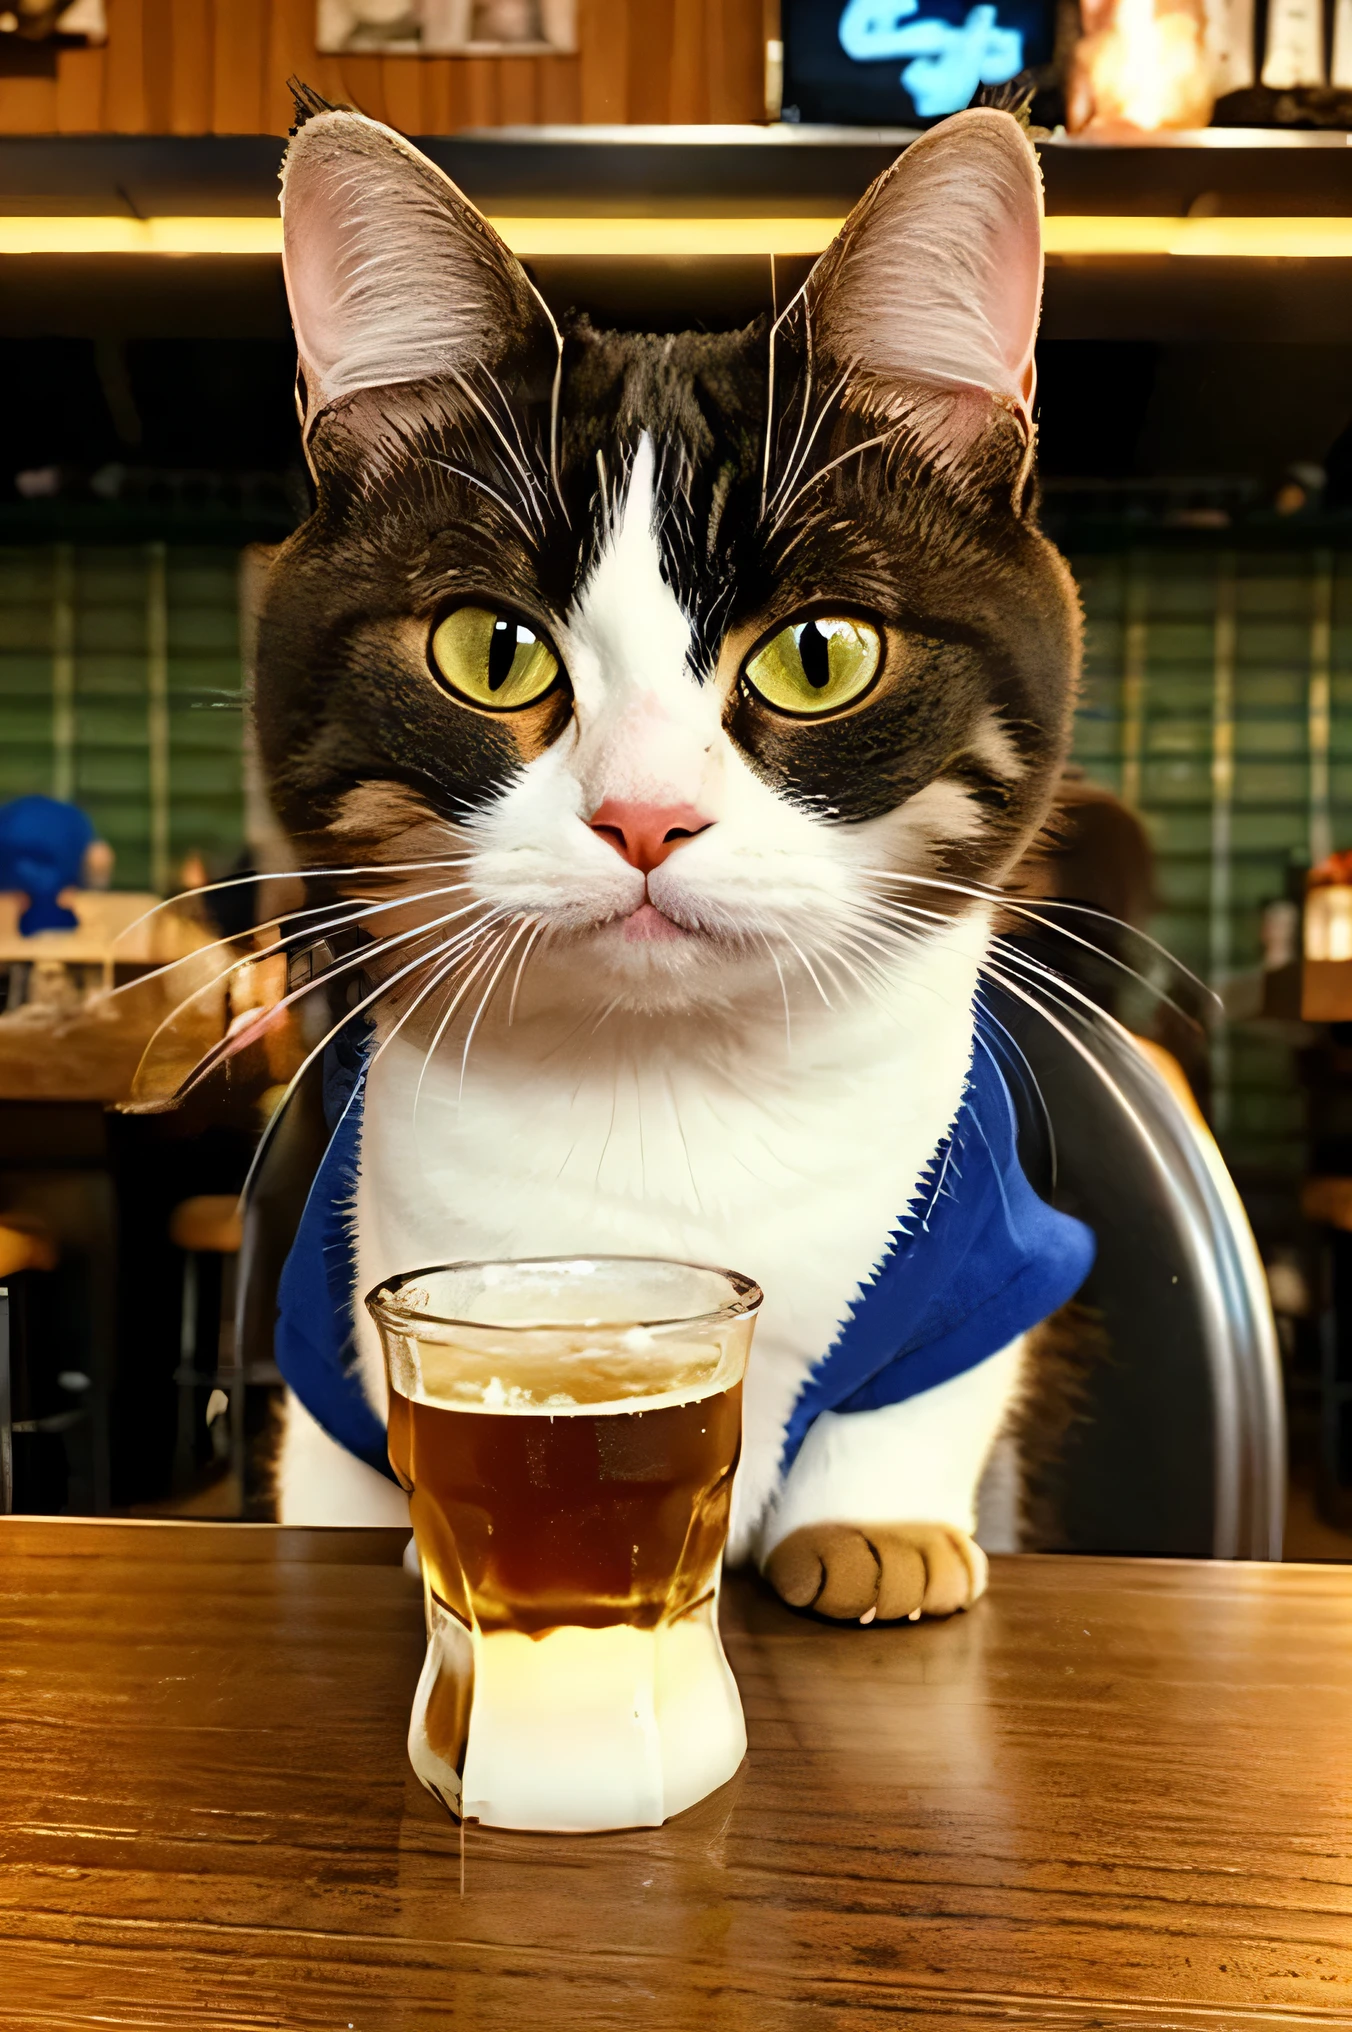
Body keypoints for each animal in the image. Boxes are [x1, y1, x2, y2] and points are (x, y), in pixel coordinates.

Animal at [253, 95, 1089, 1625]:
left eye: (820, 653)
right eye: (491, 649)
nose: (645, 816)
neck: (667, 1094)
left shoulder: (990, 1255)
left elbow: (931, 1394)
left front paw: (879, 1533)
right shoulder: (332, 1331)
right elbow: (362, 1473)